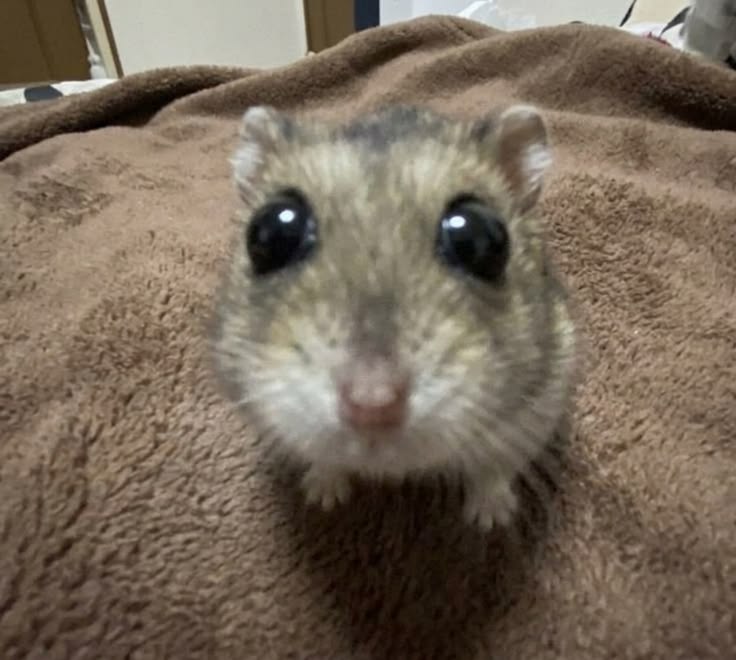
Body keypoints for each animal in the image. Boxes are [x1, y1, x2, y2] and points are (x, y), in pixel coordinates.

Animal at [211, 103, 577, 530]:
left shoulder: (538, 408)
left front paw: (490, 521)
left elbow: (494, 468)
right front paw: (322, 497)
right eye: (270, 230)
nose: (372, 405)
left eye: (480, 238)